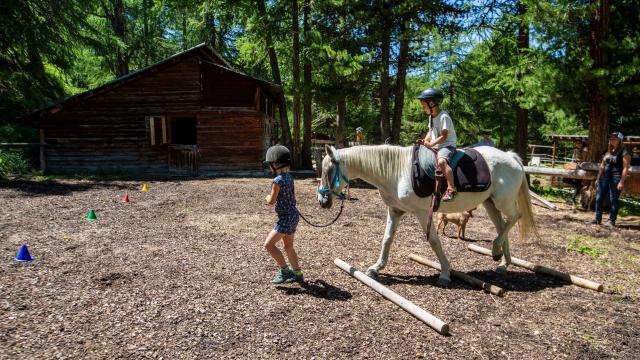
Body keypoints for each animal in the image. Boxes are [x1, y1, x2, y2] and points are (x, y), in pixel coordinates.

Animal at [318, 145, 536, 286]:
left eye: (328, 170)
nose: (322, 201)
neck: (396, 172)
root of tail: (511, 157)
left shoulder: (423, 213)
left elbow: (434, 241)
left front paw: (445, 274)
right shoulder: (395, 210)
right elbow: (387, 239)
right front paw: (376, 268)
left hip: (502, 202)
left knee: (514, 218)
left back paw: (496, 250)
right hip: (490, 203)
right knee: (501, 226)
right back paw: (502, 262)